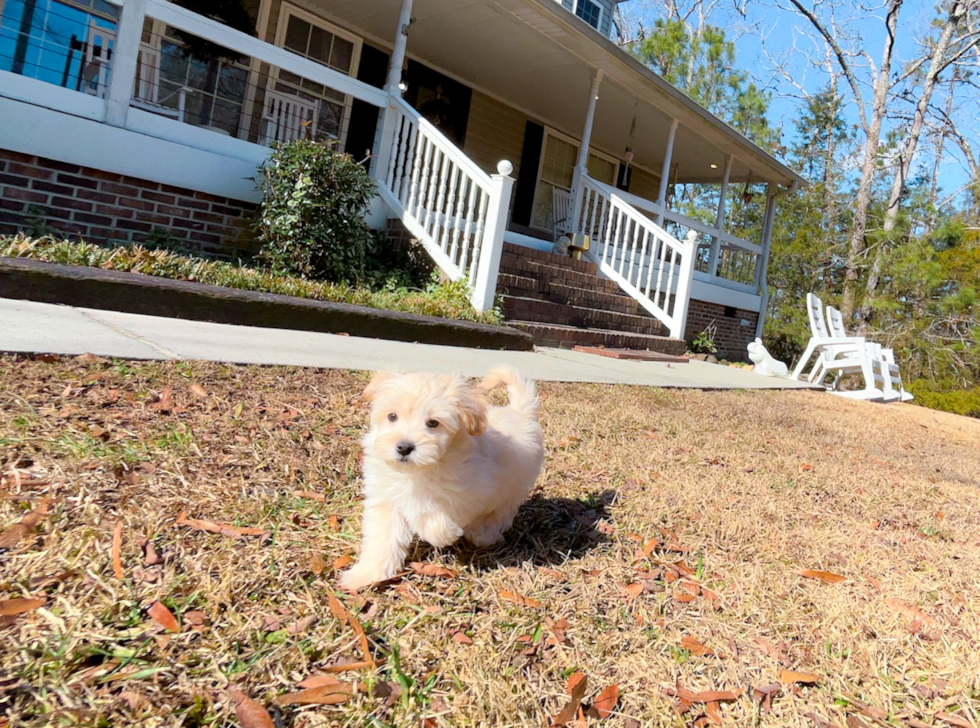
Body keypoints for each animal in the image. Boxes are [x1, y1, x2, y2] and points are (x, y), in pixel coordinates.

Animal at [340, 364, 544, 592]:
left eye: (433, 423)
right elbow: (383, 538)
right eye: (392, 416)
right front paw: (366, 575)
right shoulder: (386, 499)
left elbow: (439, 521)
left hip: (514, 486)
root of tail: (520, 412)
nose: (404, 447)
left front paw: (435, 532)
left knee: (500, 513)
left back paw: (483, 533)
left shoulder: (472, 490)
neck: (419, 470)